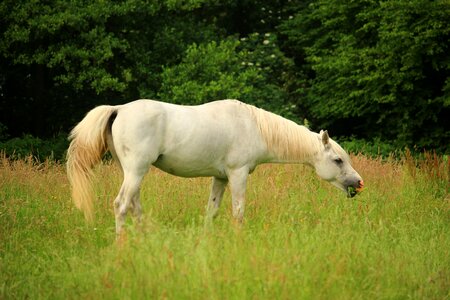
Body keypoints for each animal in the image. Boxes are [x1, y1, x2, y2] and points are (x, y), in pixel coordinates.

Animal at [66, 99, 362, 236]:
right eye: (338, 160)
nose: (358, 184)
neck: (254, 127)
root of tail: (118, 109)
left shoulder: (220, 178)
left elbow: (212, 210)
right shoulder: (238, 174)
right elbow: (238, 211)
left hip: (132, 172)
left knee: (134, 205)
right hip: (136, 170)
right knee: (121, 205)